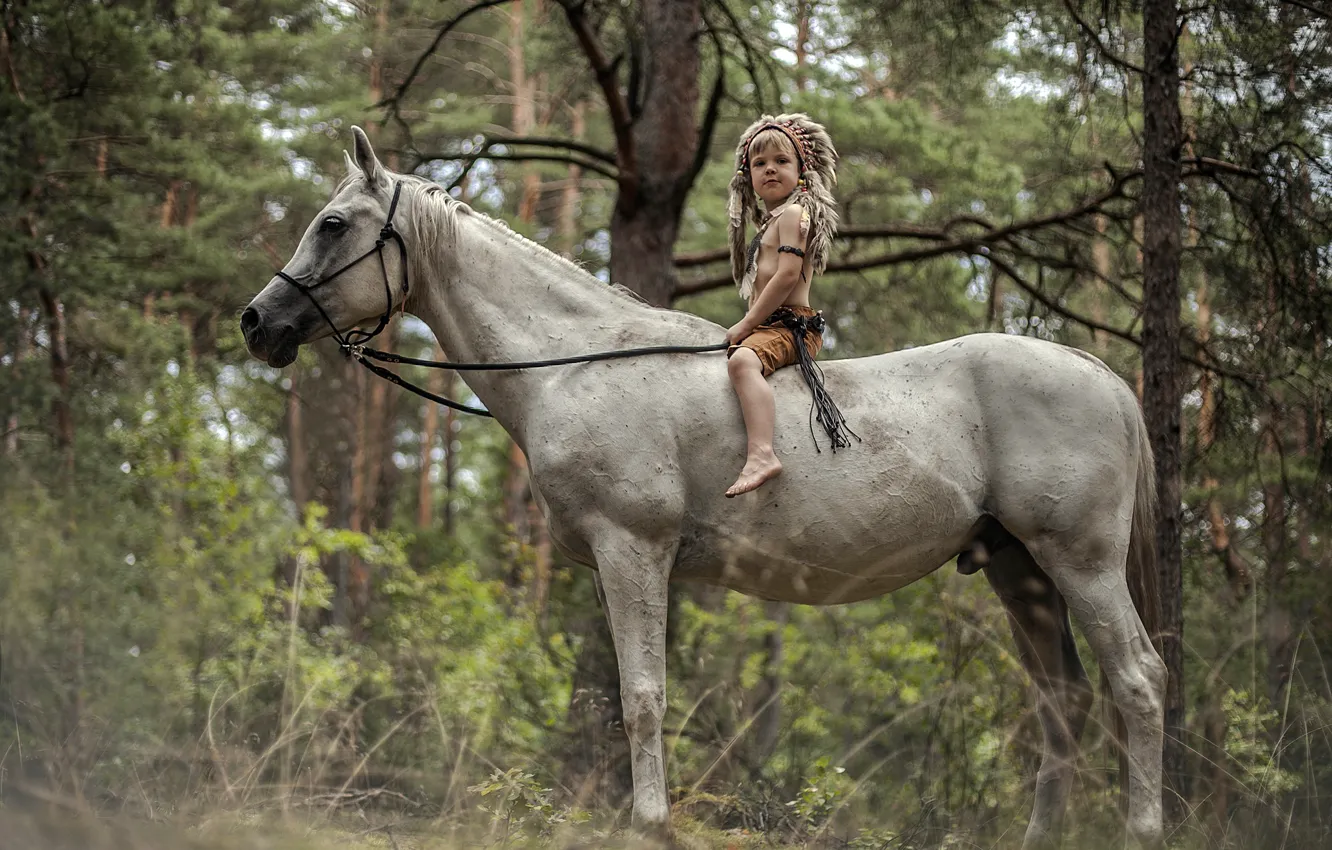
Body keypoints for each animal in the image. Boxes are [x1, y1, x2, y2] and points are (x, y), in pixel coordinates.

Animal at [242, 129, 1166, 847]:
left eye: (333, 224)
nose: (259, 322)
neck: (574, 365)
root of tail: (1104, 377)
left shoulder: (633, 549)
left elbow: (643, 698)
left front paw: (650, 823)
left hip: (1078, 562)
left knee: (1138, 681)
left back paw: (1145, 826)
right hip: (1019, 570)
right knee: (1061, 704)